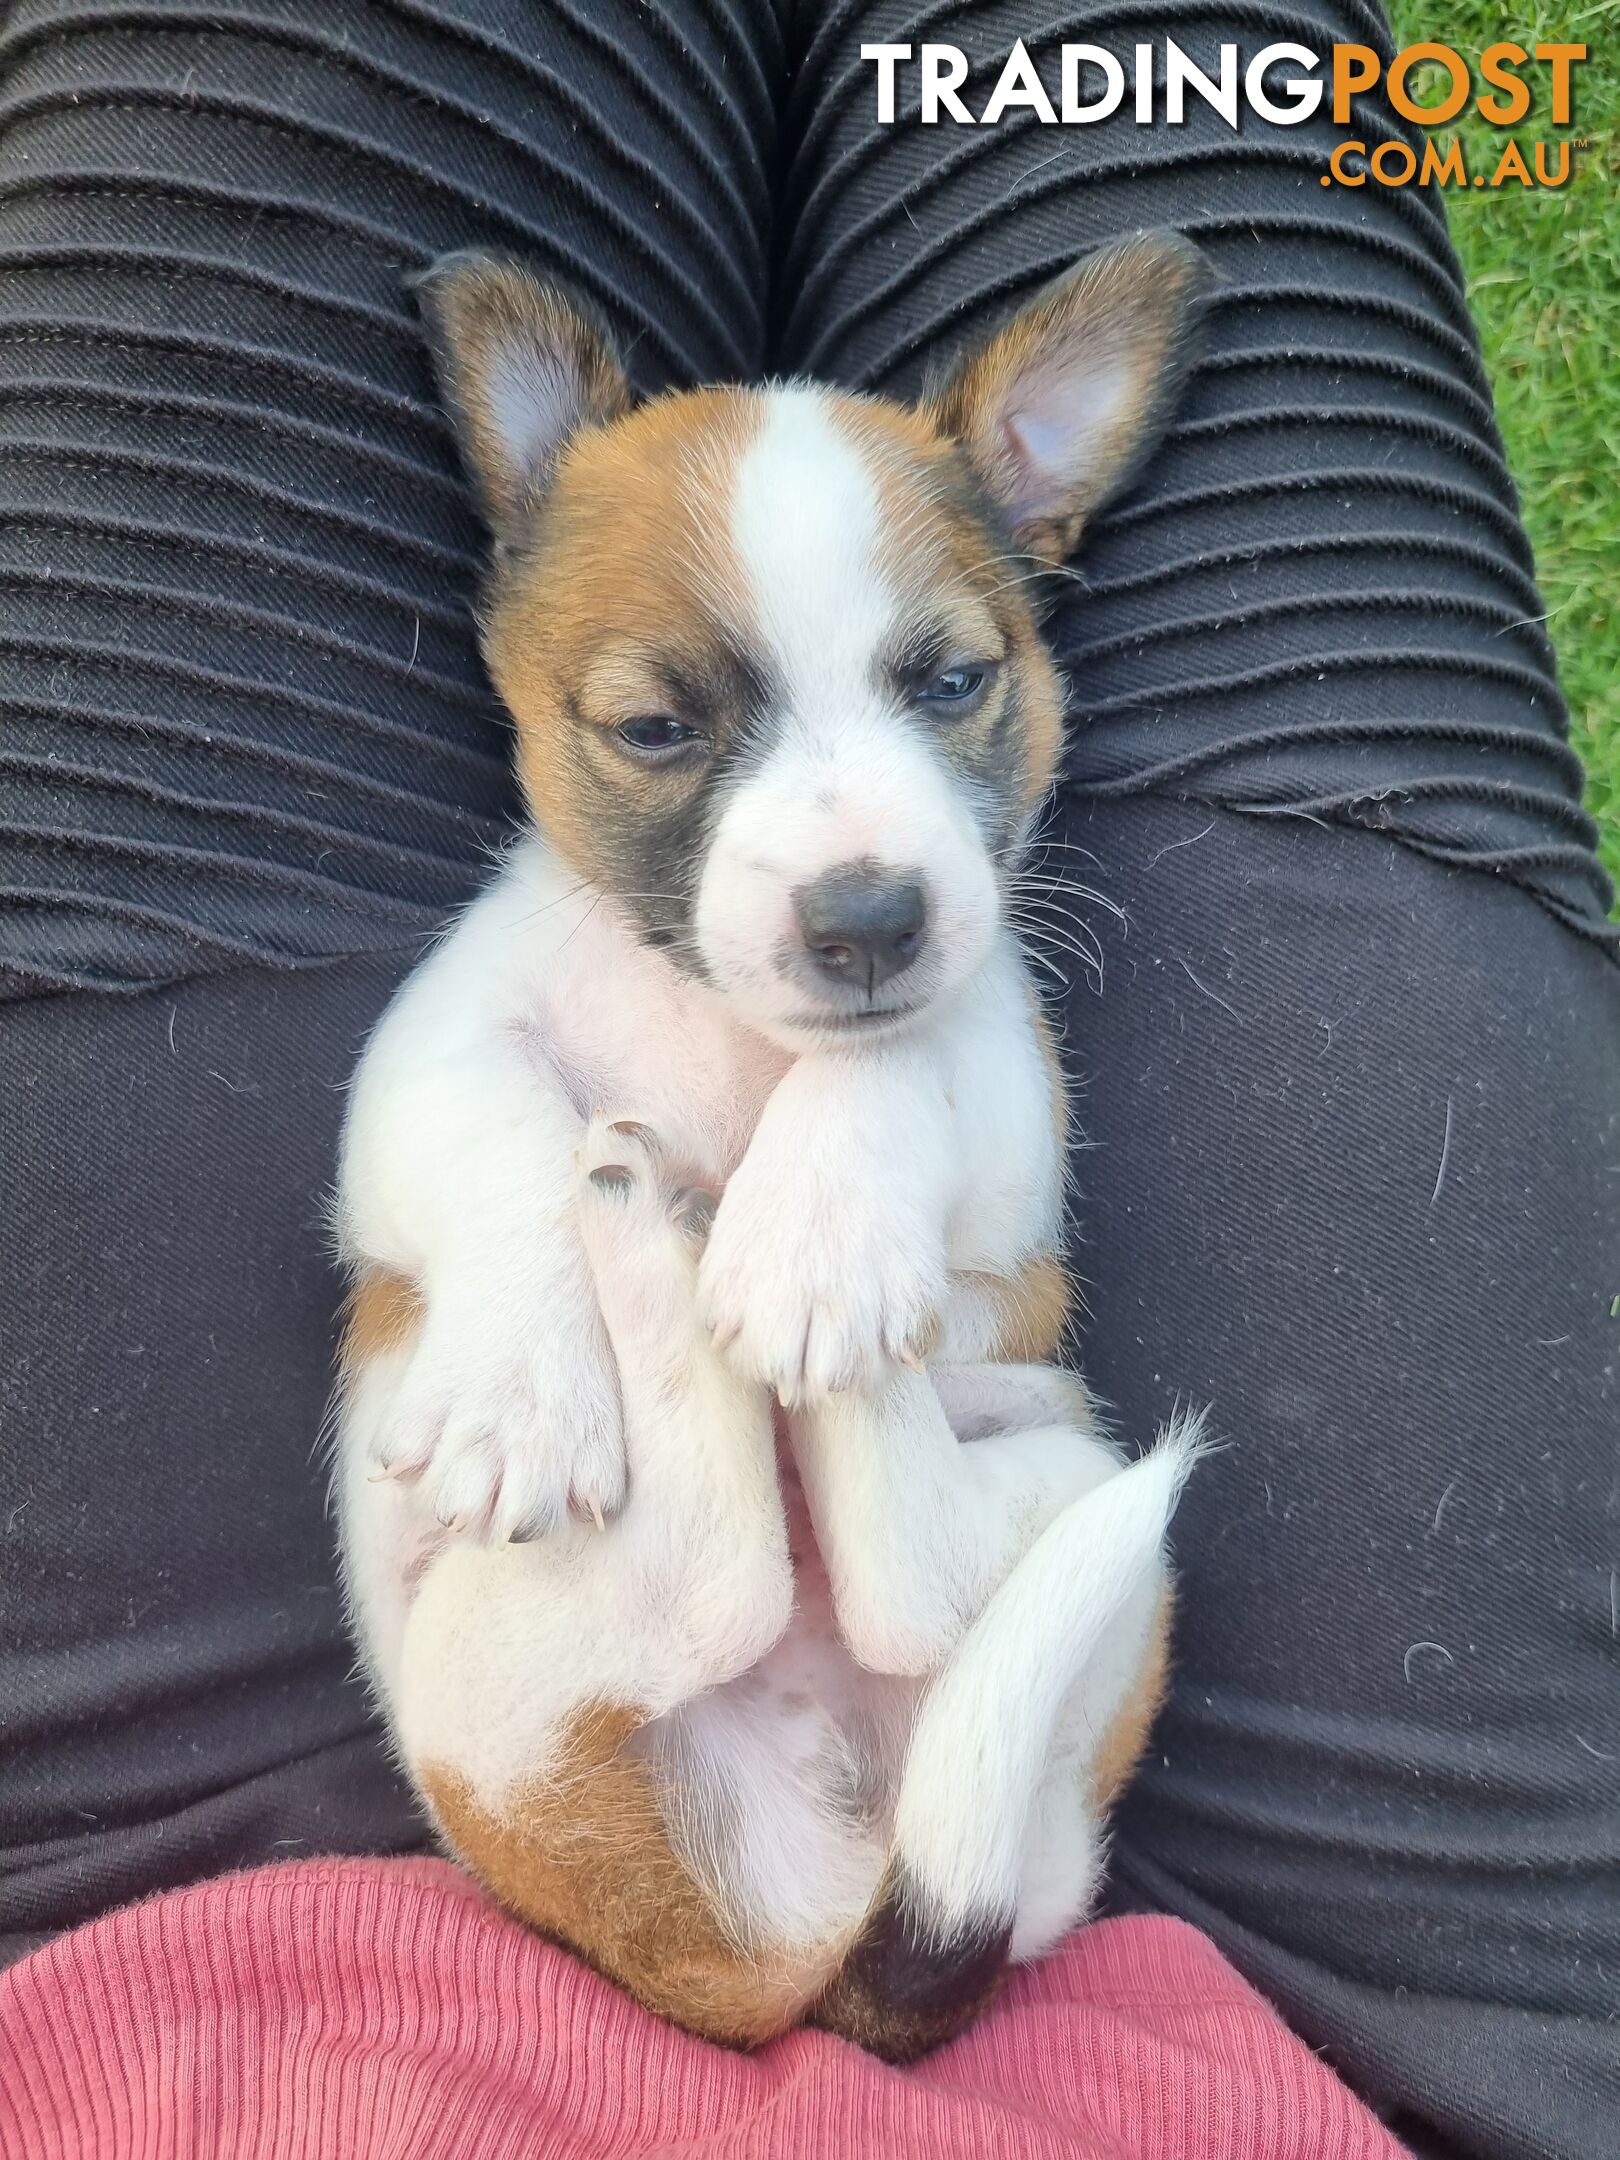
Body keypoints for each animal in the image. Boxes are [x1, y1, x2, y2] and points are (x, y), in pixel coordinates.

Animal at [336, 232, 1209, 2056]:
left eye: (951, 682)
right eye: (656, 729)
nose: (868, 918)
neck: (732, 1035)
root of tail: (806, 1957)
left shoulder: (1003, 1082)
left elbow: (902, 1054)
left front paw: (817, 1232)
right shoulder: (426, 1058)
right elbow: (502, 1136)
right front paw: (524, 1385)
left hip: (1059, 1467)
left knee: (876, 1578)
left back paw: (700, 1258)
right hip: (486, 1676)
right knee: (741, 1568)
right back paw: (646, 1230)